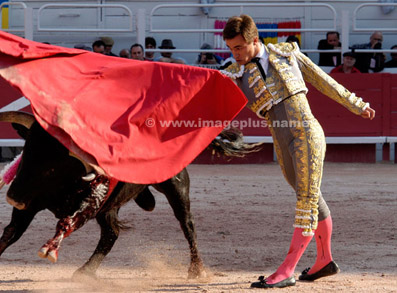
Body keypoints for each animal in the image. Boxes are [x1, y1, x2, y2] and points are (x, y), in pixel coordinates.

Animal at [0, 110, 256, 278]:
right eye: (27, 149)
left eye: (52, 164)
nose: (13, 196)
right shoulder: (30, 204)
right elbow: (12, 232)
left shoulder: (91, 200)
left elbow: (66, 221)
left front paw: (49, 249)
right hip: (110, 208)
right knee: (111, 234)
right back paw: (86, 272)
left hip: (177, 189)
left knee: (188, 225)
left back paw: (197, 270)